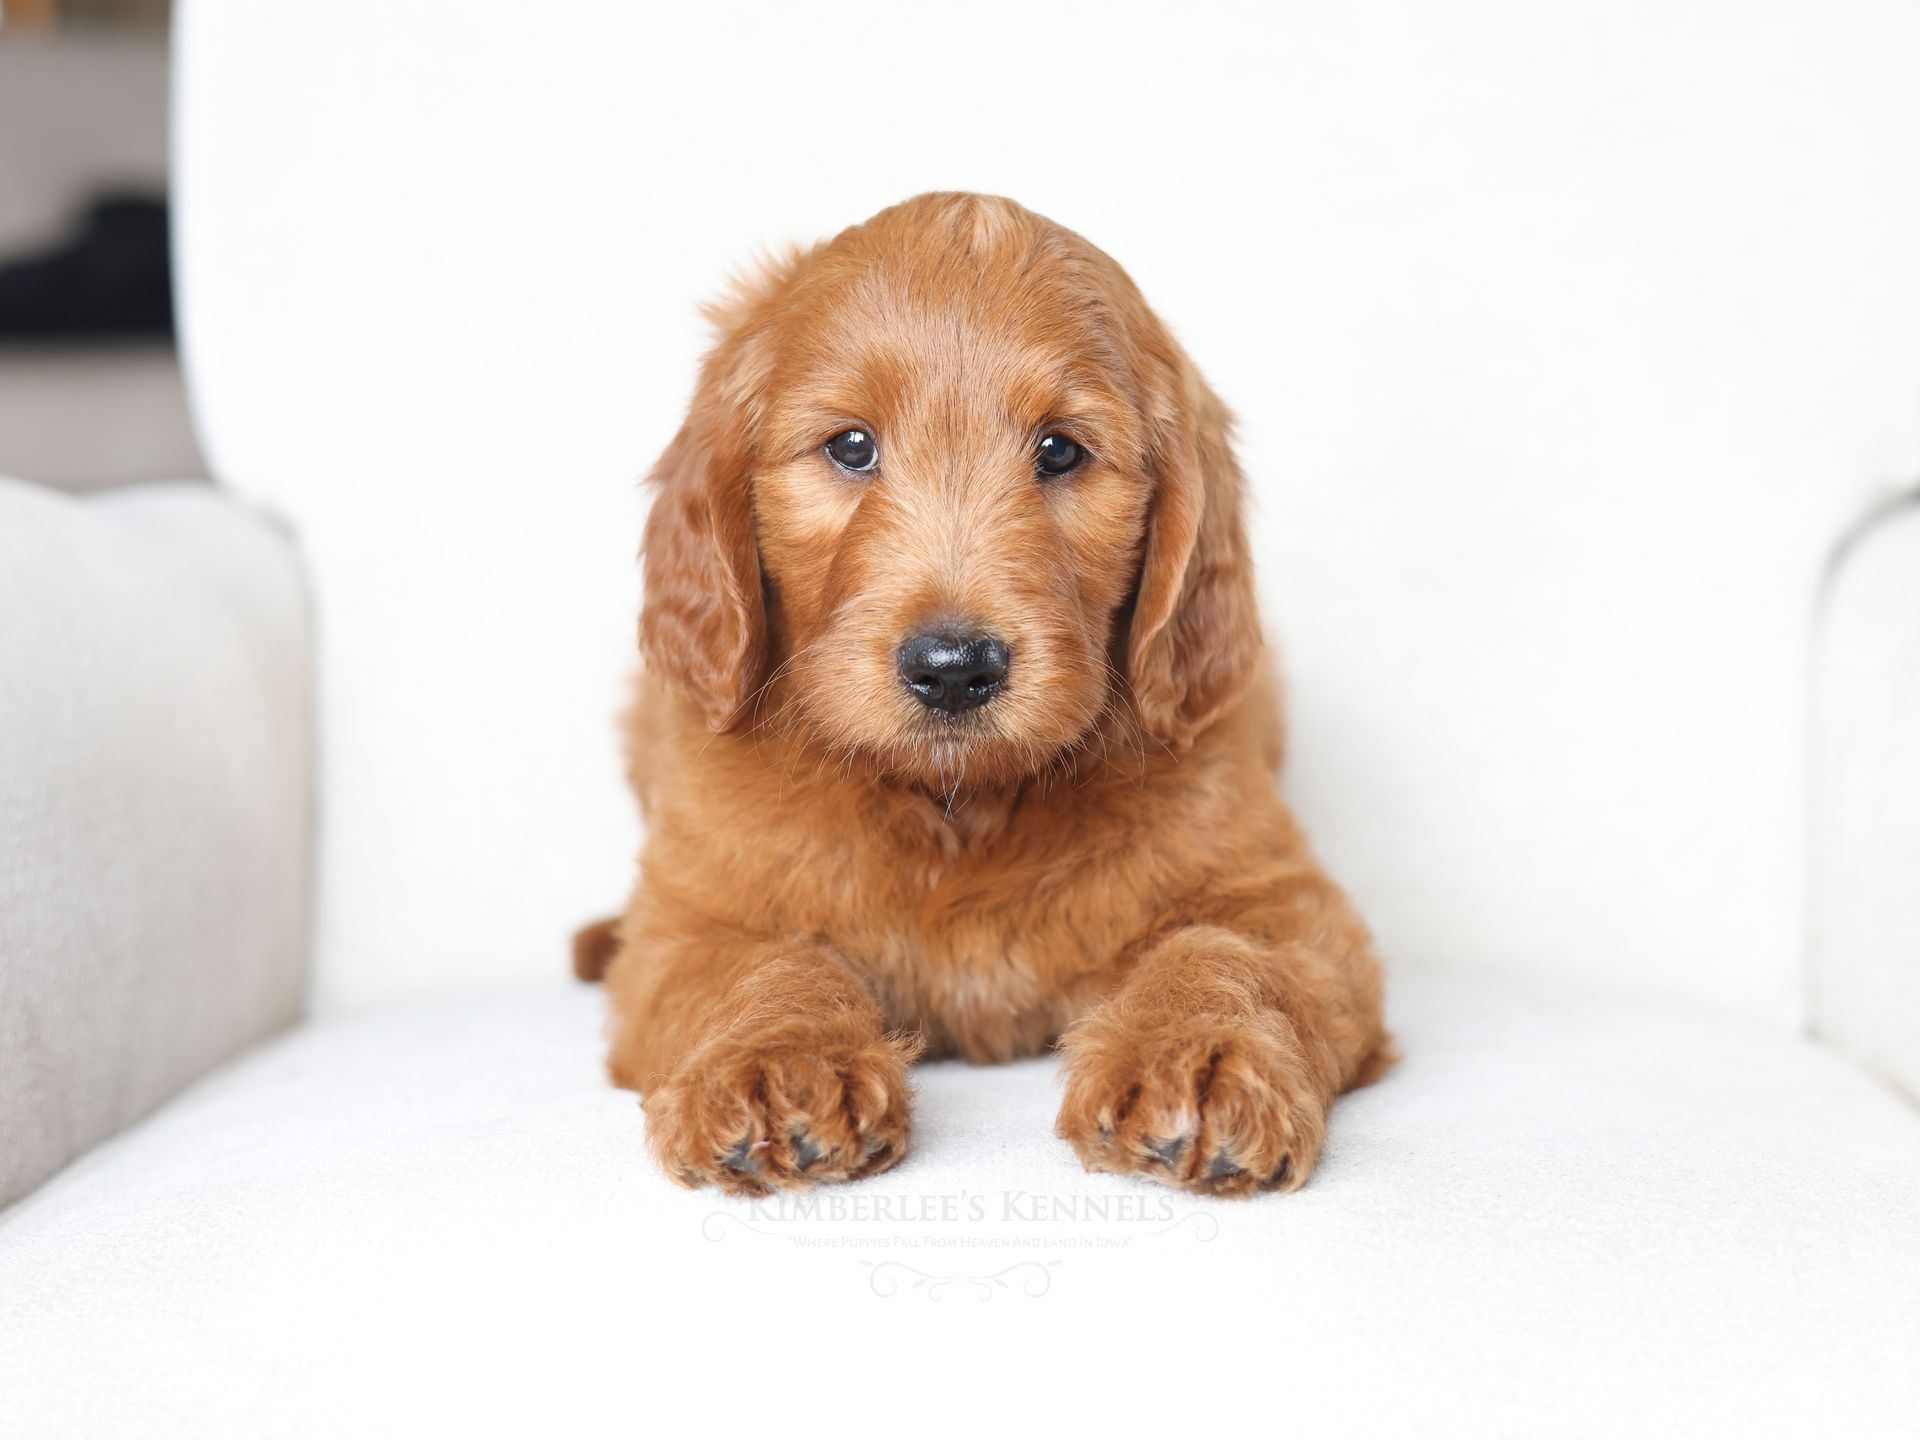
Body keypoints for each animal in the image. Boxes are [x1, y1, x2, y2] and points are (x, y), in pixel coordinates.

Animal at [575, 192, 1391, 1197]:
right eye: (851, 445)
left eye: (1061, 450)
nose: (955, 667)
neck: (960, 808)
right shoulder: (691, 916)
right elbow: (758, 965)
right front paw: (777, 1062)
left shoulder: (1284, 897)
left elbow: (1226, 952)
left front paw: (1199, 1054)